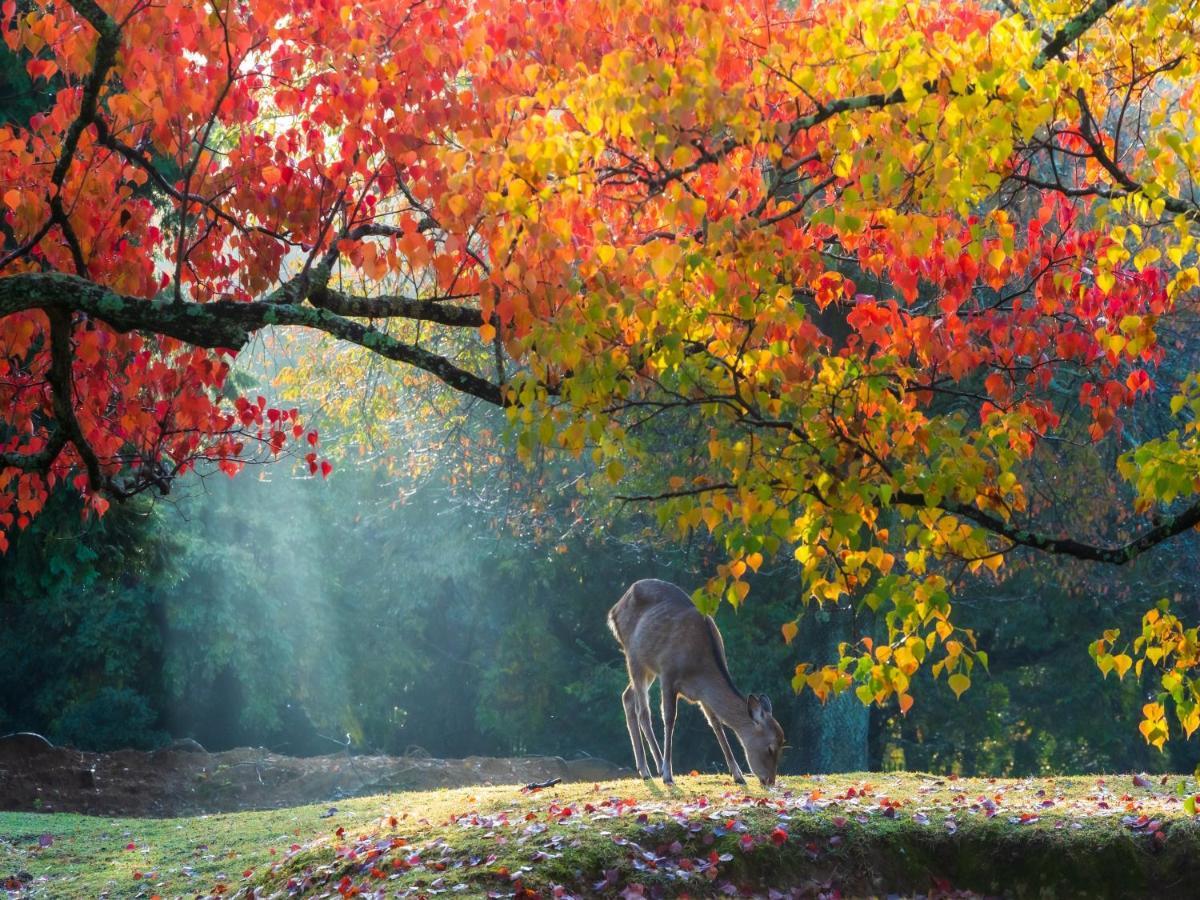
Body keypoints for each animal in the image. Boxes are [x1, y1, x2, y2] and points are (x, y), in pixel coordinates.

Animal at [609, 580, 787, 787]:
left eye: (782, 745)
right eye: (770, 748)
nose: (770, 780)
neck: (699, 668)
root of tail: (613, 610)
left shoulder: (703, 693)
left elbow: (716, 723)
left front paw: (738, 775)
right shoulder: (668, 674)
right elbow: (669, 718)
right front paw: (668, 774)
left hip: (648, 667)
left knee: (627, 696)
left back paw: (645, 768)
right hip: (634, 656)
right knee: (643, 711)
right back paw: (652, 769)